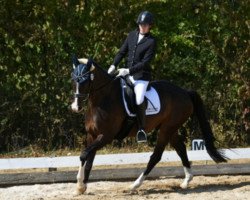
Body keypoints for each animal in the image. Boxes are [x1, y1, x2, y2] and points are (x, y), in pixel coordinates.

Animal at [70, 55, 227, 194]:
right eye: (73, 80)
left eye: (84, 80)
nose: (75, 107)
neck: (103, 99)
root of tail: (185, 92)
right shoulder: (92, 135)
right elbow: (89, 159)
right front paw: (81, 187)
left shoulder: (106, 136)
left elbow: (84, 155)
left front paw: (80, 184)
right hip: (170, 128)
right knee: (181, 149)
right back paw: (186, 181)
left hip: (166, 129)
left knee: (156, 156)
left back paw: (134, 185)